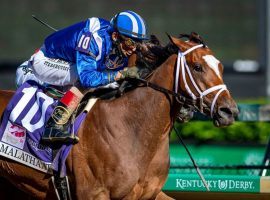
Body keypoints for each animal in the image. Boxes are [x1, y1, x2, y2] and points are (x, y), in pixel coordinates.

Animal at [0, 33, 237, 199]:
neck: (134, 129)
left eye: (221, 67)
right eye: (197, 67)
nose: (229, 111)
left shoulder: (149, 194)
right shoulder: (94, 194)